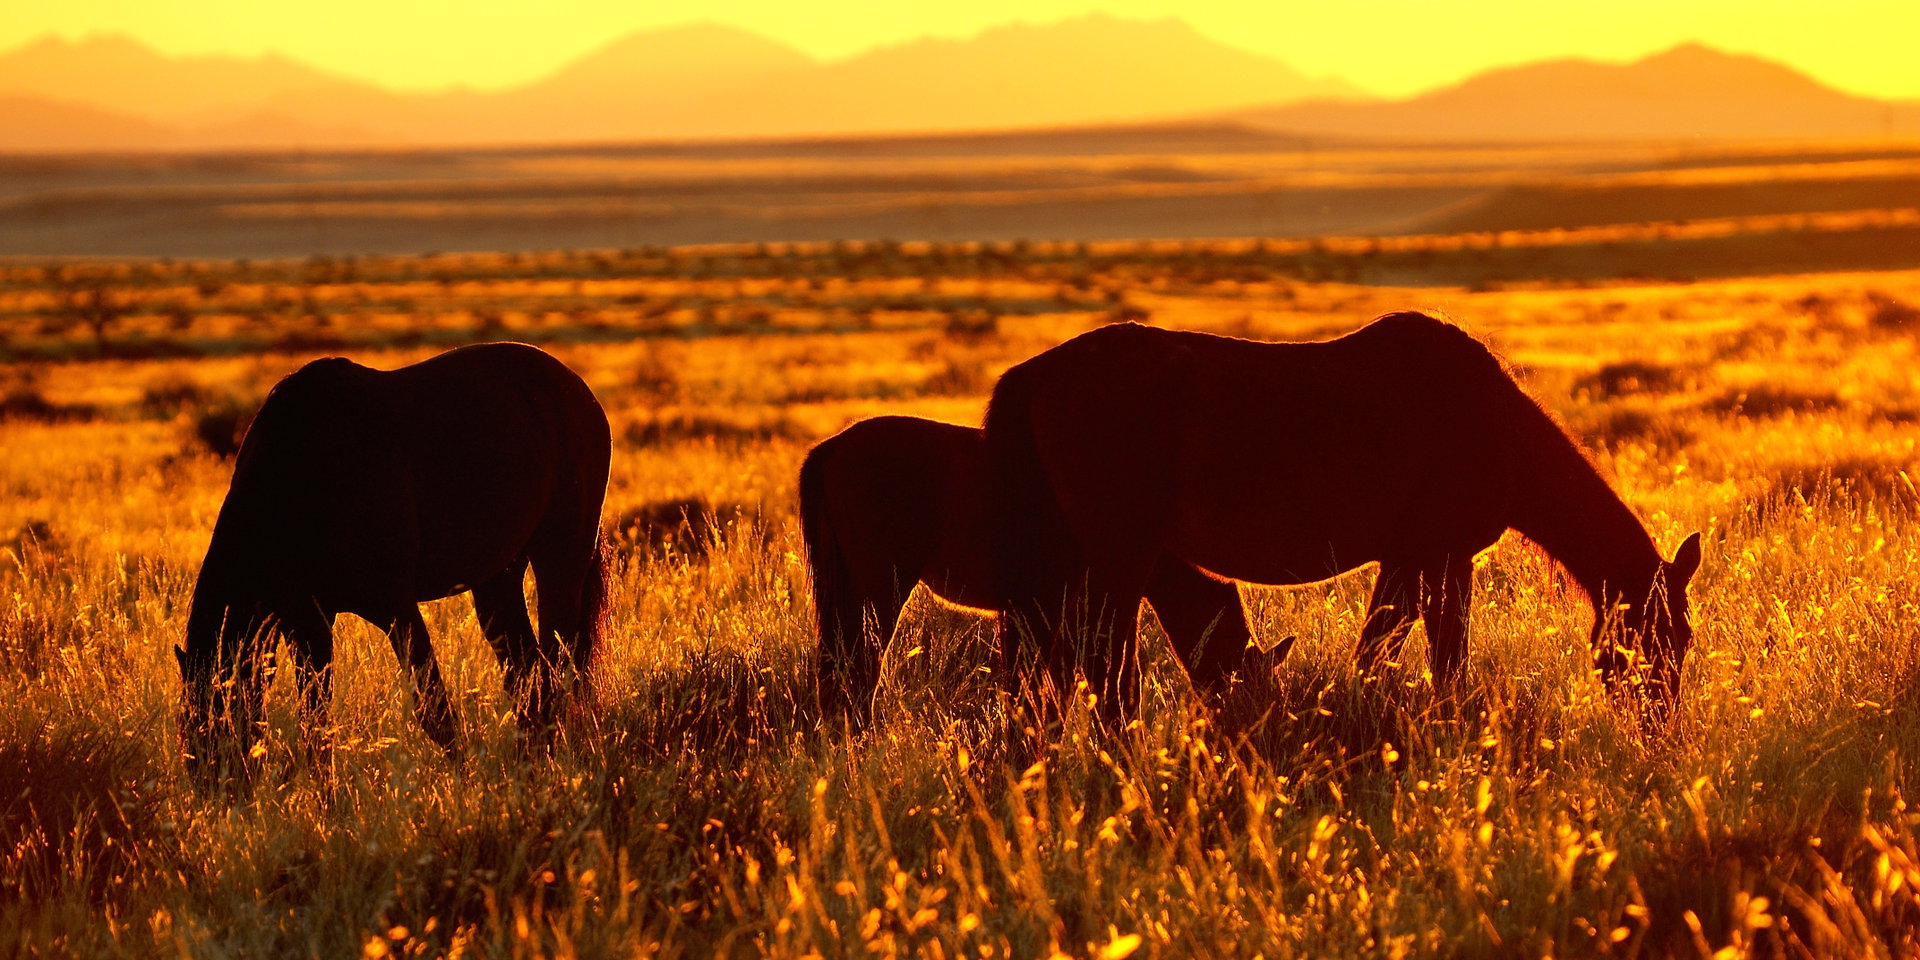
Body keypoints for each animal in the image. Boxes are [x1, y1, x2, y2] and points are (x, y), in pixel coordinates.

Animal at [175, 342, 612, 787]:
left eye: (215, 720)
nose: (212, 788)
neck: (302, 478)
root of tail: (577, 388)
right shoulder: (308, 622)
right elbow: (317, 728)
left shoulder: (395, 609)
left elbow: (434, 711)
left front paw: (464, 786)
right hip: (498, 579)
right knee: (528, 677)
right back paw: (529, 771)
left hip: (560, 558)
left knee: (558, 666)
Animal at [986, 314, 1701, 727]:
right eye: (1659, 641)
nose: (1658, 730)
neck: (1496, 429)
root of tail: (1040, 374)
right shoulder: (1443, 558)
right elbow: (1442, 660)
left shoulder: (1410, 560)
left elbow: (1378, 654)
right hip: (1120, 559)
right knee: (1107, 668)